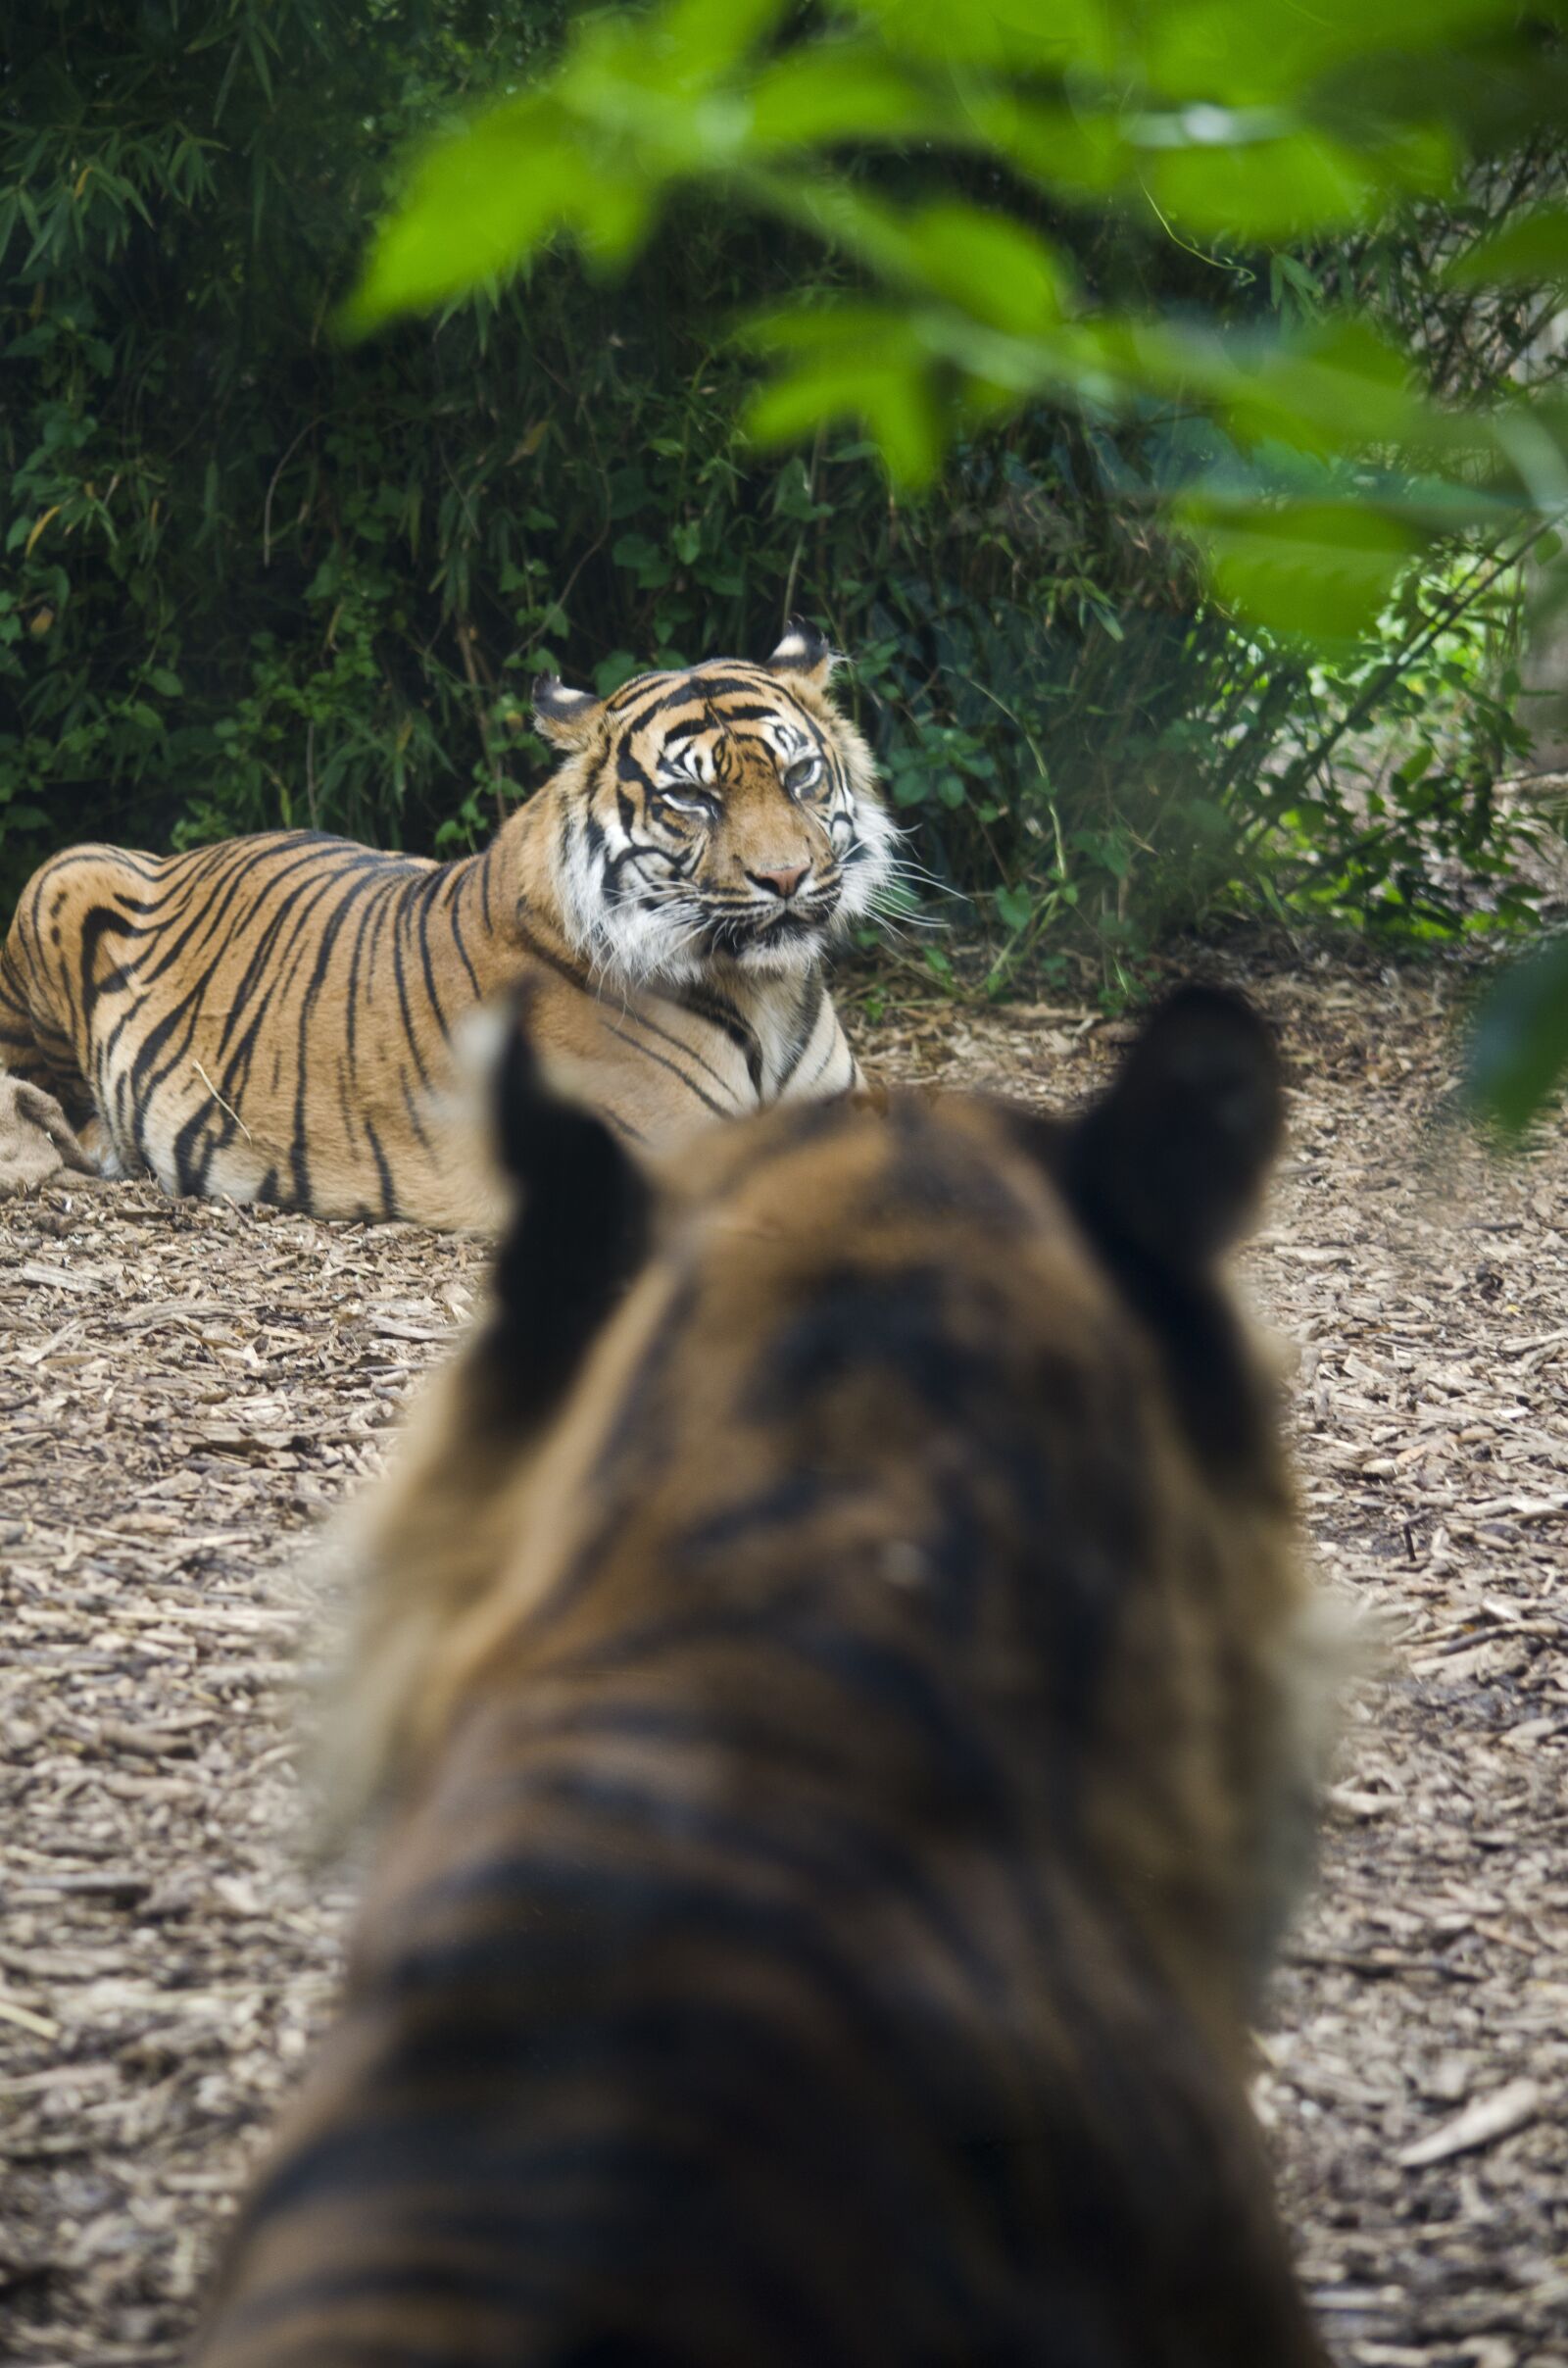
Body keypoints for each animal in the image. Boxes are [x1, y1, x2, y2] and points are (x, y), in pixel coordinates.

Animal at [0, 623, 894, 1226]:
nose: (785, 878)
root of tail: (180, 856)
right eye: (692, 799)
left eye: (799, 776)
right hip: (61, 873)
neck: (766, 989)